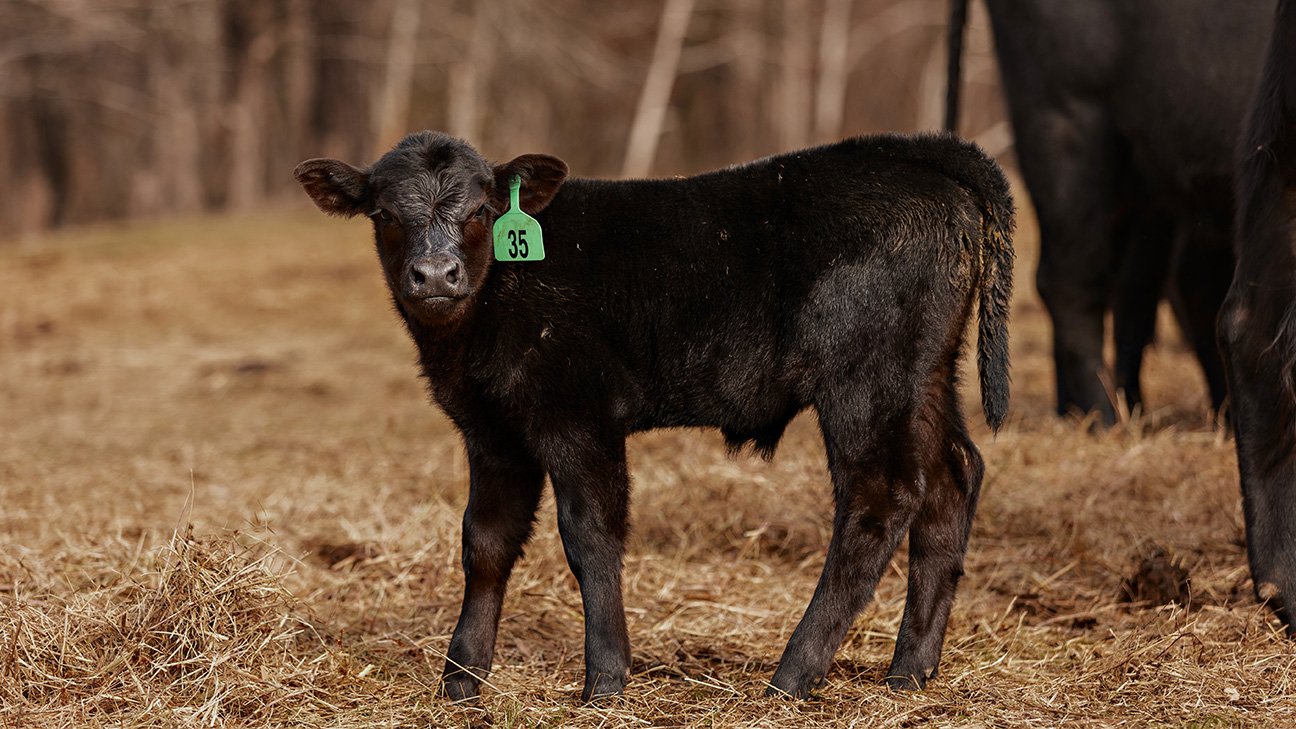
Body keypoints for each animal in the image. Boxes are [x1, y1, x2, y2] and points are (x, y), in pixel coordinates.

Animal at [294, 130, 1010, 700]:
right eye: (385, 213)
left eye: (479, 211)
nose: (436, 275)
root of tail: (910, 152)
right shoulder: (493, 431)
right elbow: (486, 543)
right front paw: (462, 679)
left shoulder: (578, 421)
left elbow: (591, 538)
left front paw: (606, 678)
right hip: (924, 379)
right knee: (952, 481)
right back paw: (910, 672)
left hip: (866, 380)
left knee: (879, 499)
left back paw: (793, 675)